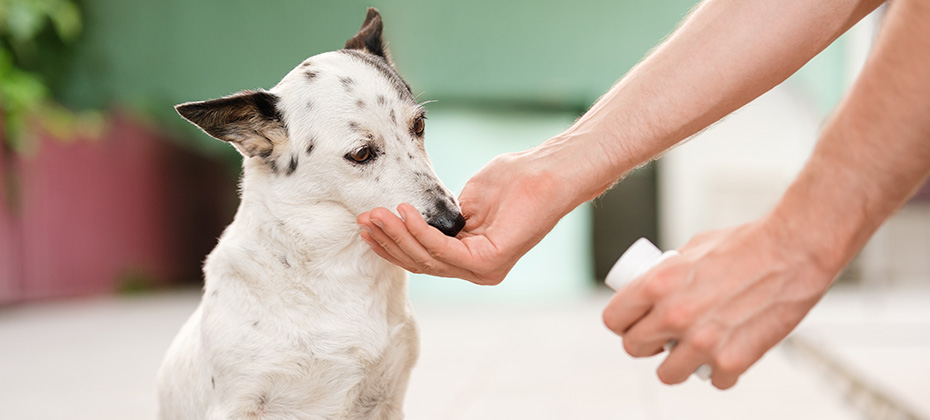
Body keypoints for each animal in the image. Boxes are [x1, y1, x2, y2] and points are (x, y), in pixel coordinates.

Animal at [157, 8, 468, 418]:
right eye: (362, 153)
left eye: (418, 125)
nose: (453, 223)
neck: (340, 268)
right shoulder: (236, 403)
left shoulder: (387, 399)